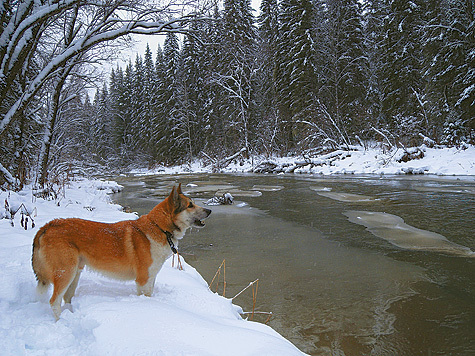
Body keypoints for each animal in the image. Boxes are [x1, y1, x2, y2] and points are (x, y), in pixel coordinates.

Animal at [32, 184, 211, 320]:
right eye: (190, 205)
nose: (209, 210)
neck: (159, 227)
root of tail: (47, 226)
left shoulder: (151, 278)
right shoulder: (143, 280)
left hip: (75, 273)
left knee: (66, 298)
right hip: (65, 273)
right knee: (54, 301)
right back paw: (61, 321)